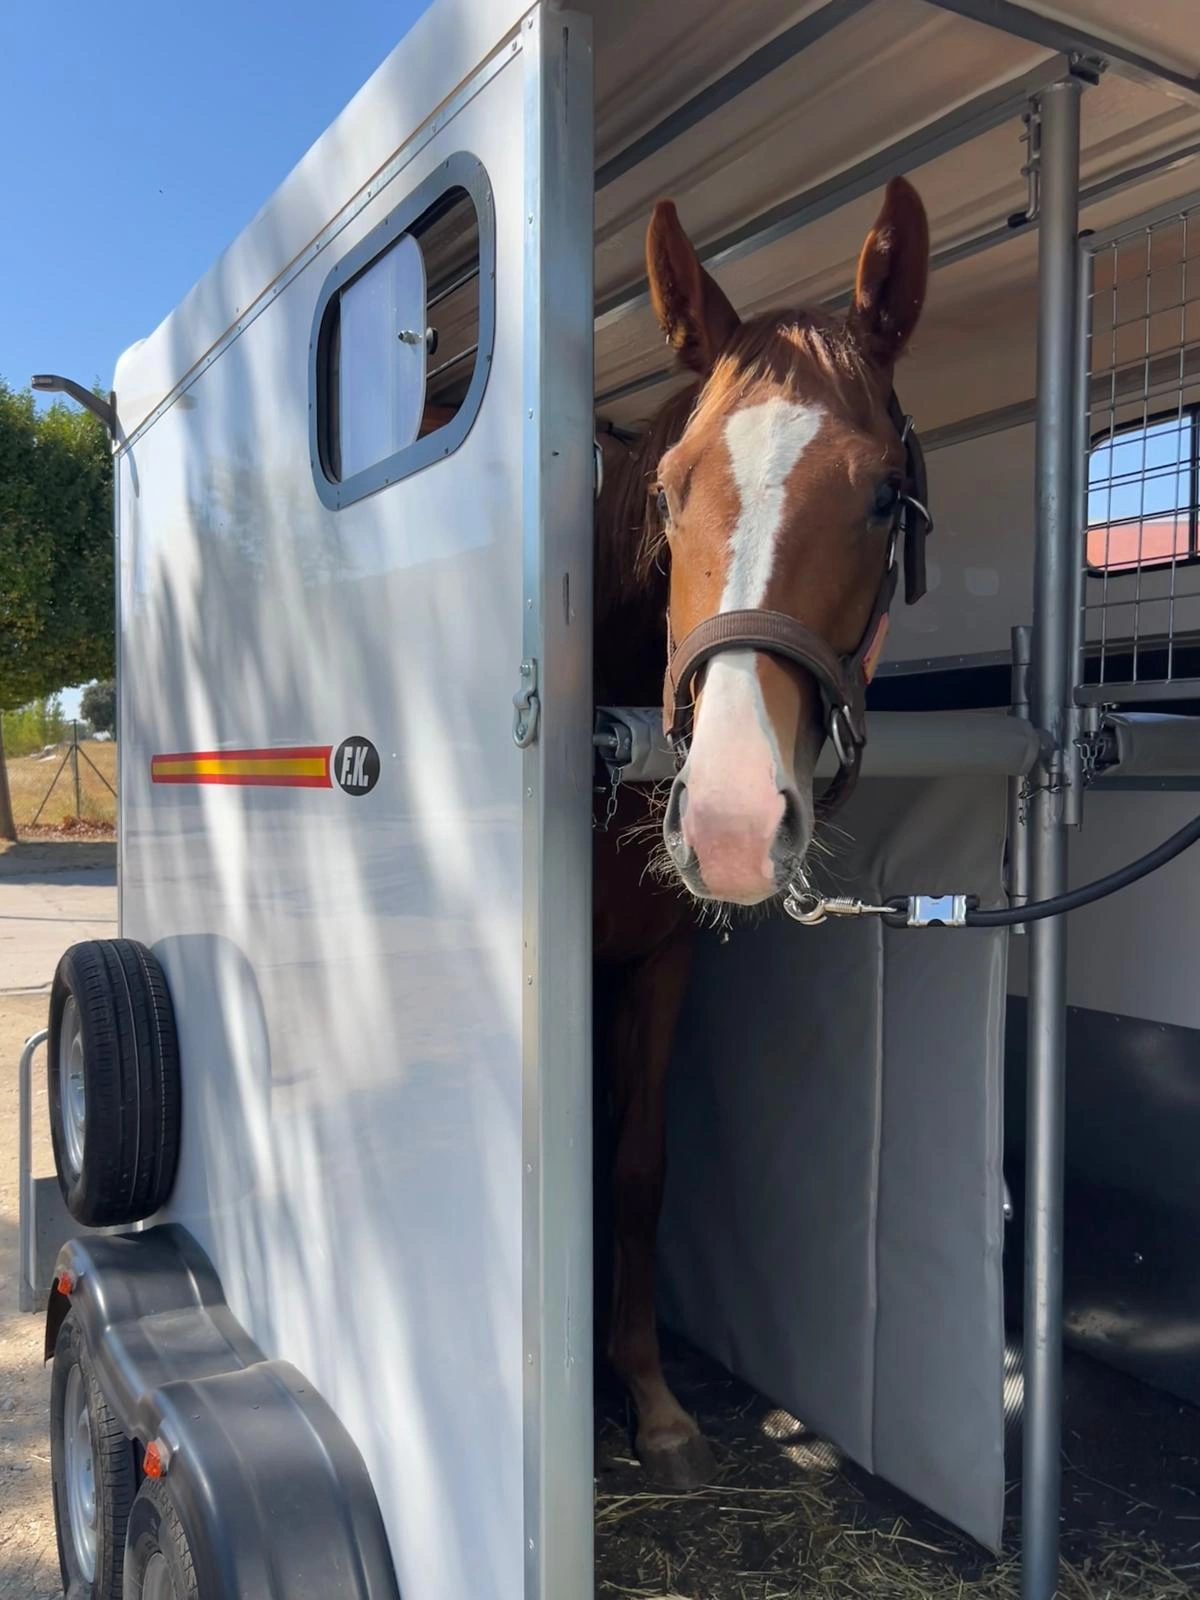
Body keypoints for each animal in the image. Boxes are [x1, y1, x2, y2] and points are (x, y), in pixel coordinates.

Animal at [593, 176, 930, 1489]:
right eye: (670, 488)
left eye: (883, 493)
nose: (734, 818)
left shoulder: (664, 961)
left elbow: (640, 1168)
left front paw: (652, 1400)